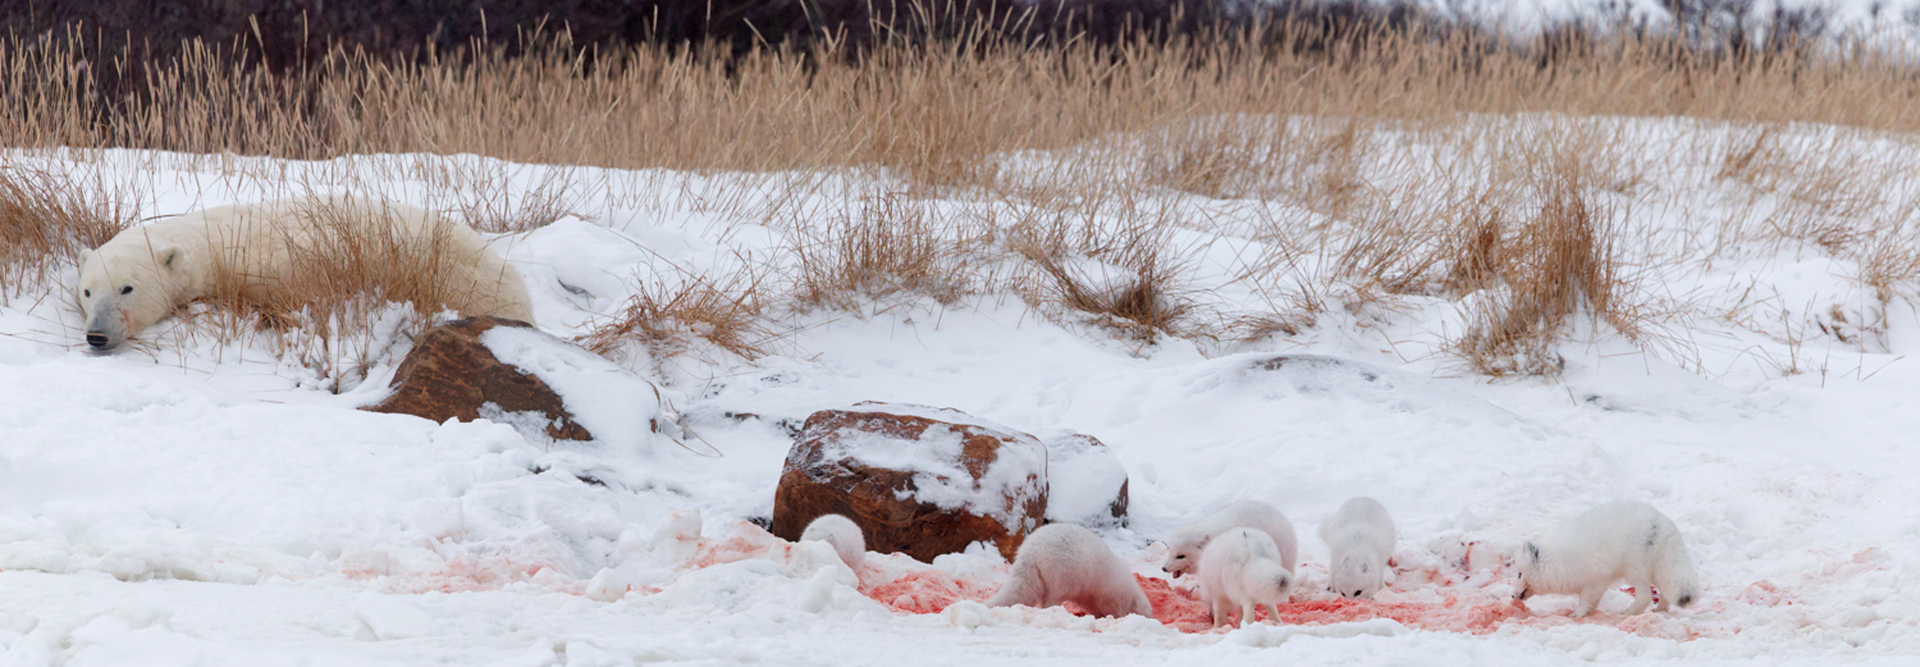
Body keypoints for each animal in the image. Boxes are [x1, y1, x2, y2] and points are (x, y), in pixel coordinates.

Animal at [76, 196, 533, 353]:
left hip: (461, 279)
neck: (219, 243)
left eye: (127, 288)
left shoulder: (281, 267)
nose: (96, 335)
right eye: (87, 292)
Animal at [990, 522, 1152, 622]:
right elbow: (1109, 606)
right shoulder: (1108, 591)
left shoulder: (1090, 594)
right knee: (1053, 598)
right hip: (1064, 572)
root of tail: (1032, 551)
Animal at [1512, 499, 1697, 618]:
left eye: (1519, 574)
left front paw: (1576, 614)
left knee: (1645, 597)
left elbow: (1586, 600)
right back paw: (1658, 611)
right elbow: (1591, 602)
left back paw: (1626, 613)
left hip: (1634, 571)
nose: (1512, 596)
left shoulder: (1595, 581)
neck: (1555, 561)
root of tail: (1662, 522)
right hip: (1655, 571)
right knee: (1665, 592)